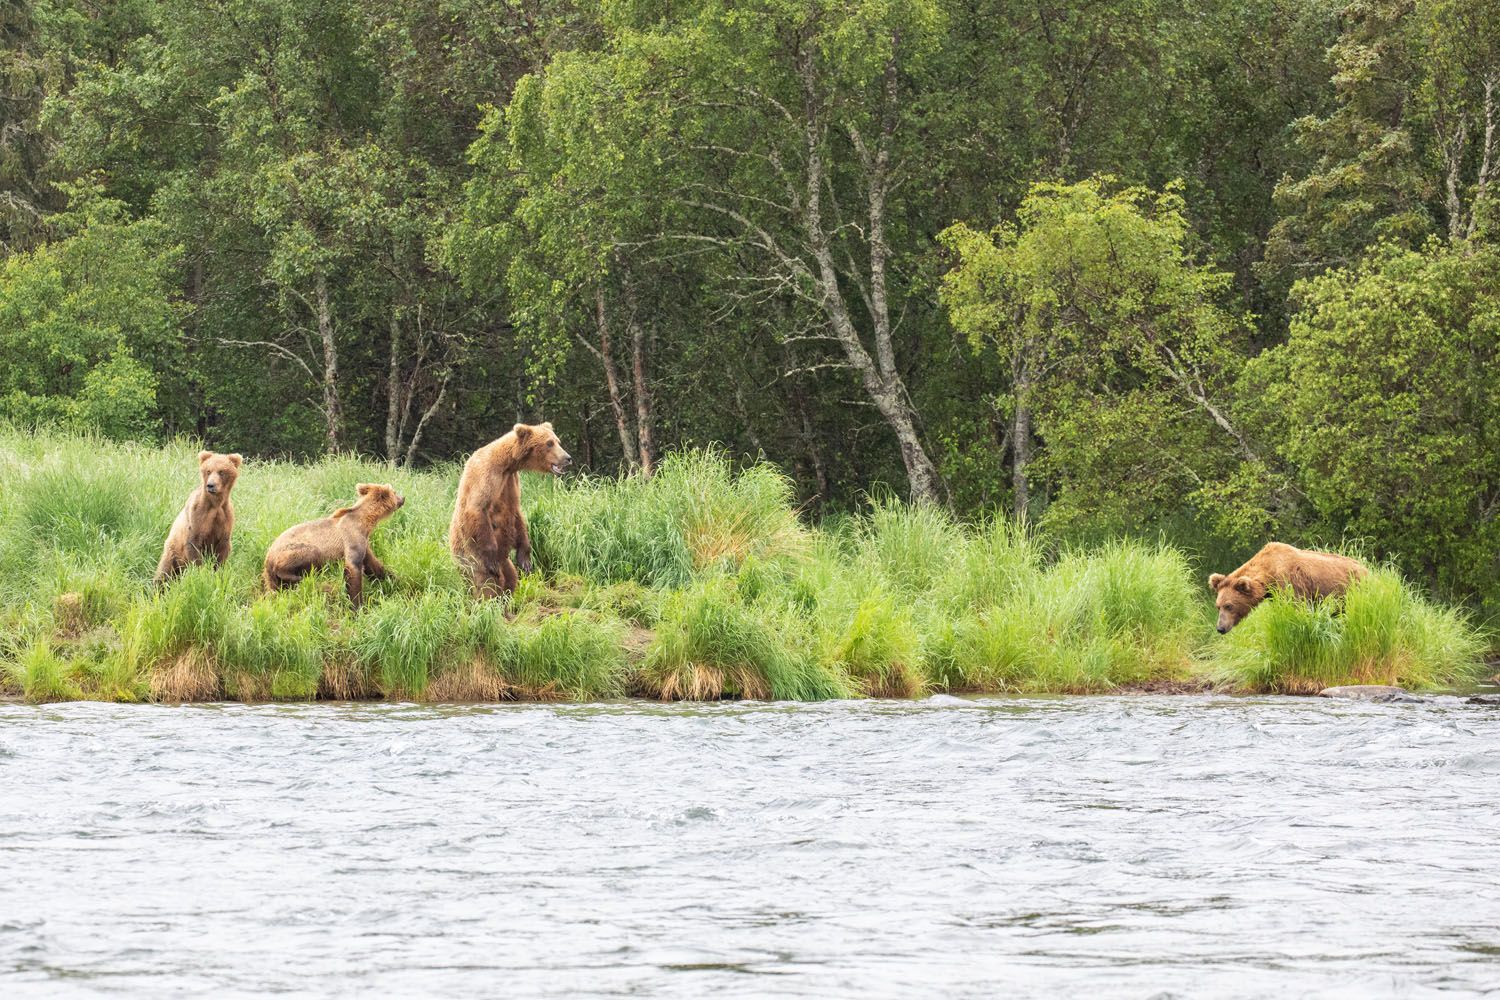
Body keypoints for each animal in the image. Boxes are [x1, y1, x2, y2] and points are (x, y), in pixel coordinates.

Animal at [264, 479, 405, 605]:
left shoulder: (364, 542)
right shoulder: (352, 537)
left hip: (273, 579)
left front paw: (393, 578)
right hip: (292, 551)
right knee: (308, 555)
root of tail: (268, 558)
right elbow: (353, 568)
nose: (403, 498)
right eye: (394, 492)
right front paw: (357, 605)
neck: (365, 522)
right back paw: (297, 577)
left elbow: (374, 565)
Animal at [447, 419, 570, 599]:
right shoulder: (486, 475)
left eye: (557, 441)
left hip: (504, 560)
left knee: (511, 577)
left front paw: (525, 560)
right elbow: (477, 508)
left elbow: (517, 514)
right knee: (486, 584)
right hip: (469, 558)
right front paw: (492, 560)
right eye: (549, 443)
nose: (568, 458)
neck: (507, 464)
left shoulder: (512, 482)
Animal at [1212, 542, 1368, 638]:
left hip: (1352, 588)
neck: (1269, 573)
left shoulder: (1290, 583)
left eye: (1229, 606)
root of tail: (1366, 568)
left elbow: (1298, 608)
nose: (1220, 628)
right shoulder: (1274, 594)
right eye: (1218, 606)